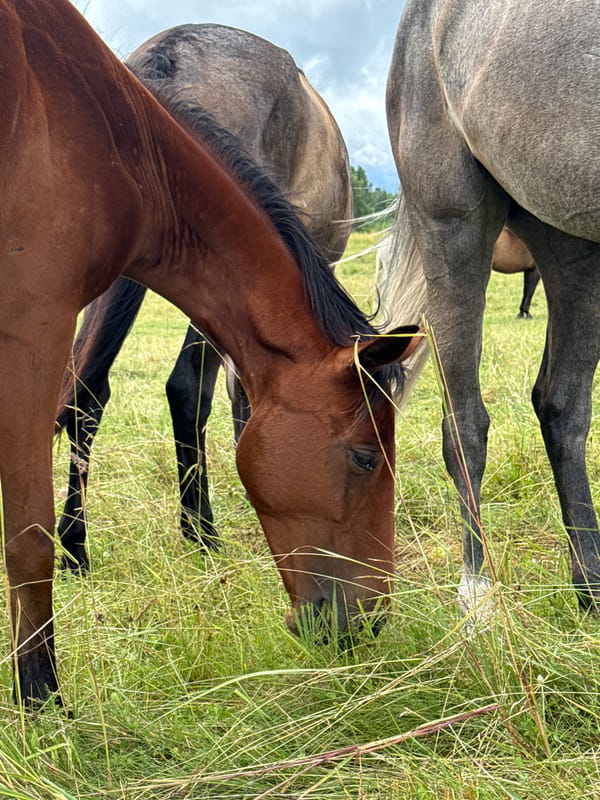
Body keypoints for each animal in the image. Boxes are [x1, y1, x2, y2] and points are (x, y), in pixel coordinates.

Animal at [378, 226, 540, 319]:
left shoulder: (529, 270)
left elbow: (526, 291)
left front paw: (521, 313)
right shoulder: (535, 271)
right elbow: (530, 292)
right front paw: (526, 314)